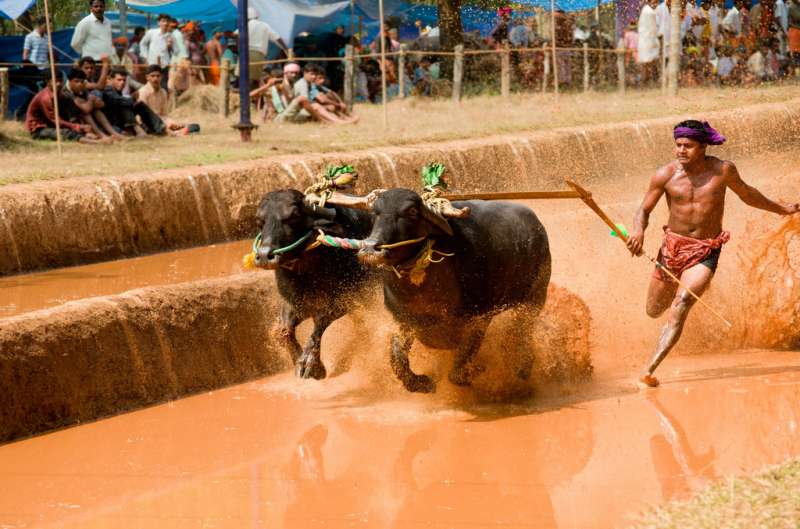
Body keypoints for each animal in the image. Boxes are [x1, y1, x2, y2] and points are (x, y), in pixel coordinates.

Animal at [253, 190, 376, 380]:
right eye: (259, 220)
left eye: (294, 216)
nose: (265, 256)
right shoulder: (294, 302)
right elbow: (283, 331)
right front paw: (298, 362)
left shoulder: (343, 299)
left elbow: (319, 323)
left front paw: (311, 364)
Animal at [356, 188, 552, 390]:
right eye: (375, 212)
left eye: (412, 211)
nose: (370, 249)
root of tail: (537, 226)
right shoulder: (404, 321)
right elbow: (397, 357)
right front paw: (422, 383)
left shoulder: (479, 318)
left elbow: (459, 368)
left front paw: (478, 372)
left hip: (535, 297)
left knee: (520, 331)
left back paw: (522, 367)